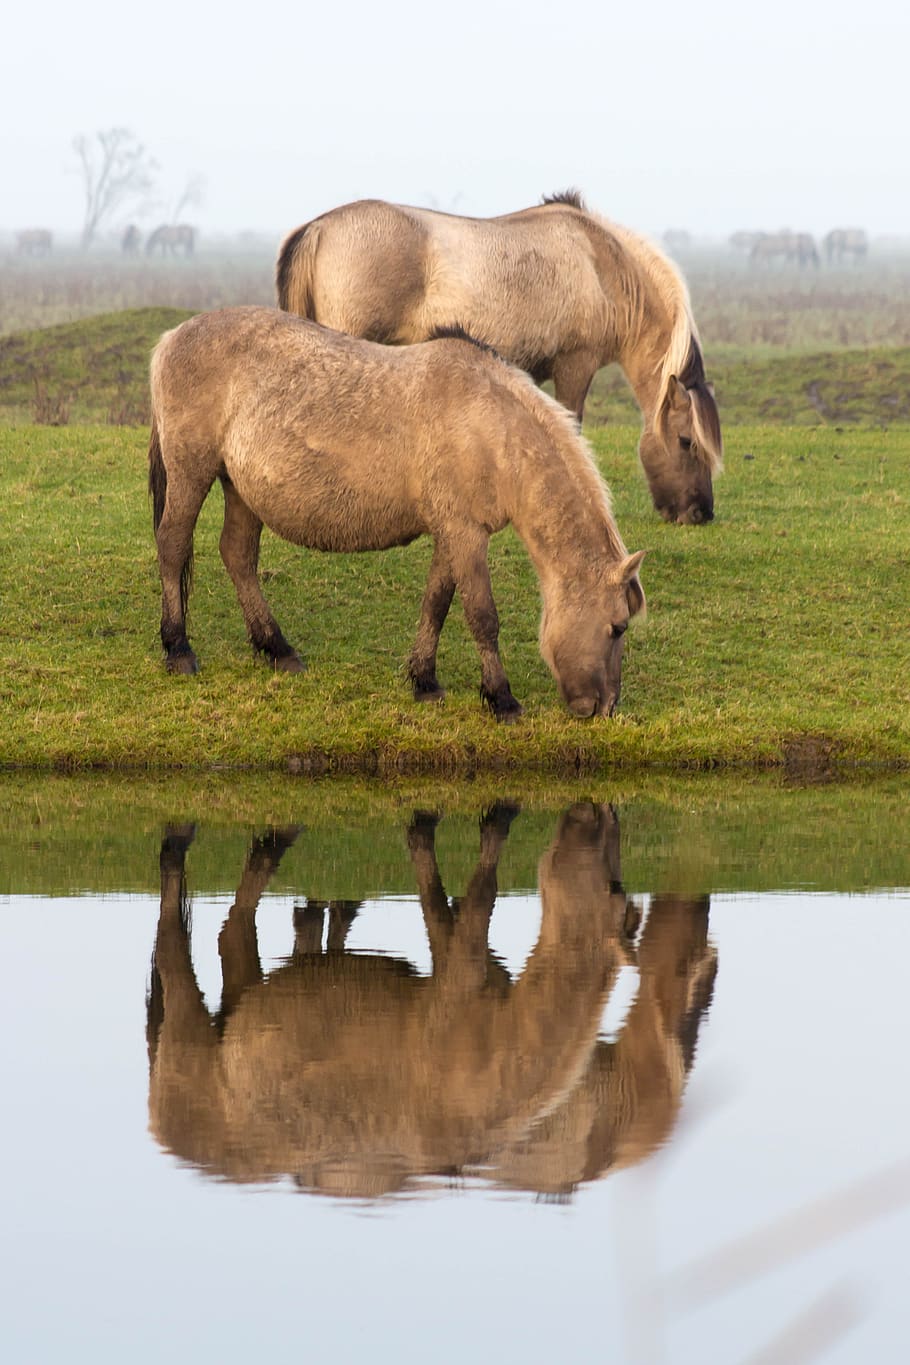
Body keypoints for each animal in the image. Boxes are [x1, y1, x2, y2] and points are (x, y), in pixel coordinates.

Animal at [147, 805, 715, 1197]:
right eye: (614, 888)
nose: (591, 818)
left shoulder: (478, 969)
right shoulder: (457, 973)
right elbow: (468, 888)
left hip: (243, 1001)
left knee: (231, 932)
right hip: (186, 1027)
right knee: (178, 943)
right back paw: (178, 843)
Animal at [149, 307, 645, 721]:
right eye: (618, 627)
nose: (604, 708)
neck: (492, 426)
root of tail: (171, 338)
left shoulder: (451, 532)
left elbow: (437, 604)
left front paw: (424, 681)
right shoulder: (466, 534)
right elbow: (482, 616)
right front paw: (501, 699)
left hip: (241, 490)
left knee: (237, 555)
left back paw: (277, 648)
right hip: (191, 472)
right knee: (173, 546)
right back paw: (179, 649)